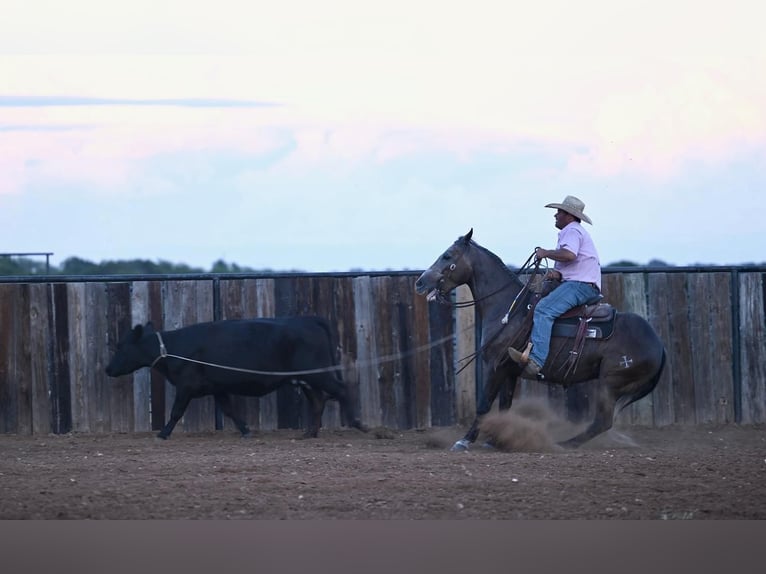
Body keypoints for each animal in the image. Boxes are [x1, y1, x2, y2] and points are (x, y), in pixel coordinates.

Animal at [106, 318, 368, 444]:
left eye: (121, 346)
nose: (108, 369)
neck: (172, 349)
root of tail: (309, 320)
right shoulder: (217, 388)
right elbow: (229, 410)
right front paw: (245, 430)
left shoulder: (186, 386)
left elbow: (176, 411)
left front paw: (162, 433)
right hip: (306, 378)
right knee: (318, 401)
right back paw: (310, 433)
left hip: (318, 374)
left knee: (341, 390)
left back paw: (358, 424)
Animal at [414, 228, 664, 450]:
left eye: (447, 255)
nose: (420, 282)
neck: (510, 308)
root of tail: (660, 346)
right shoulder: (509, 370)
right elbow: (505, 406)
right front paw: (496, 439)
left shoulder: (495, 366)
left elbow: (484, 404)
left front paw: (465, 440)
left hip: (610, 383)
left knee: (602, 421)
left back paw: (564, 444)